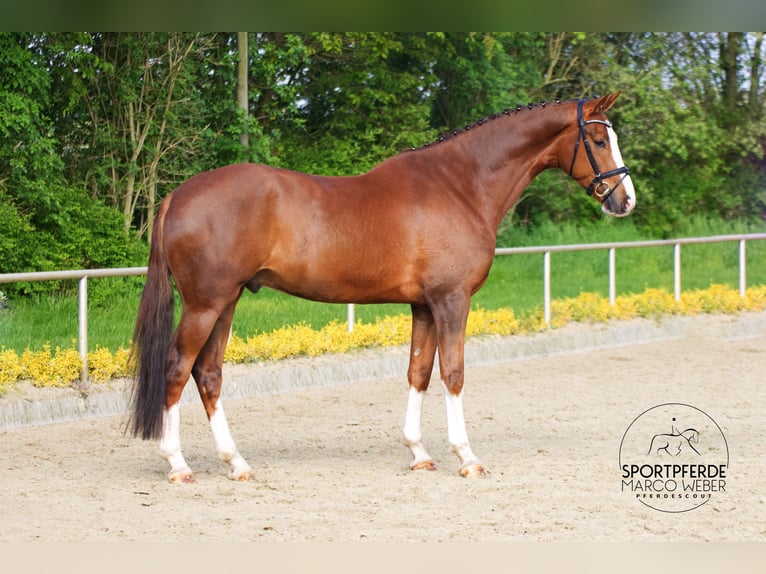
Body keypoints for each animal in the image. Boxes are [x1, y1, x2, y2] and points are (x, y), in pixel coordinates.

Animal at [129, 92, 636, 483]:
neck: (460, 185)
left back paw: (237, 463)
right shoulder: (452, 301)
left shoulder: (424, 306)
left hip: (227, 301)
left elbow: (419, 372)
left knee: (208, 373)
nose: (624, 199)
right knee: (178, 369)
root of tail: (178, 195)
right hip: (205, 303)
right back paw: (177, 464)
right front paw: (466, 457)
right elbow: (454, 373)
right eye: (597, 139)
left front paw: (420, 454)